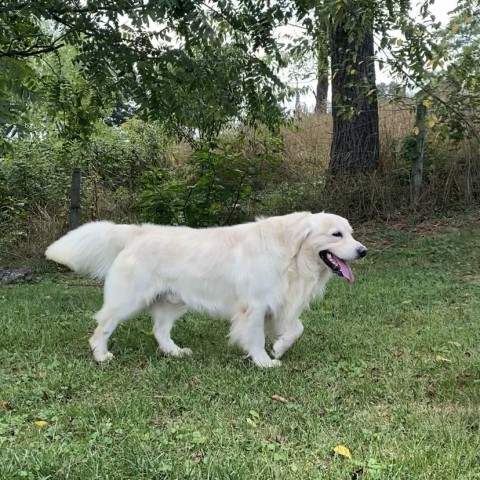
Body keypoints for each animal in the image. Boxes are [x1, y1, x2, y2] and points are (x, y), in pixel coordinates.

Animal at [46, 211, 368, 368]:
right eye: (336, 234)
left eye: (351, 233)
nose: (363, 251)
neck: (292, 254)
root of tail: (137, 231)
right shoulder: (254, 305)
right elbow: (255, 337)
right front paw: (264, 361)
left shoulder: (280, 303)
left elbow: (296, 328)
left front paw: (279, 348)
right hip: (128, 301)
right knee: (102, 327)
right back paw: (101, 356)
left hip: (172, 303)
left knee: (159, 330)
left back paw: (175, 352)